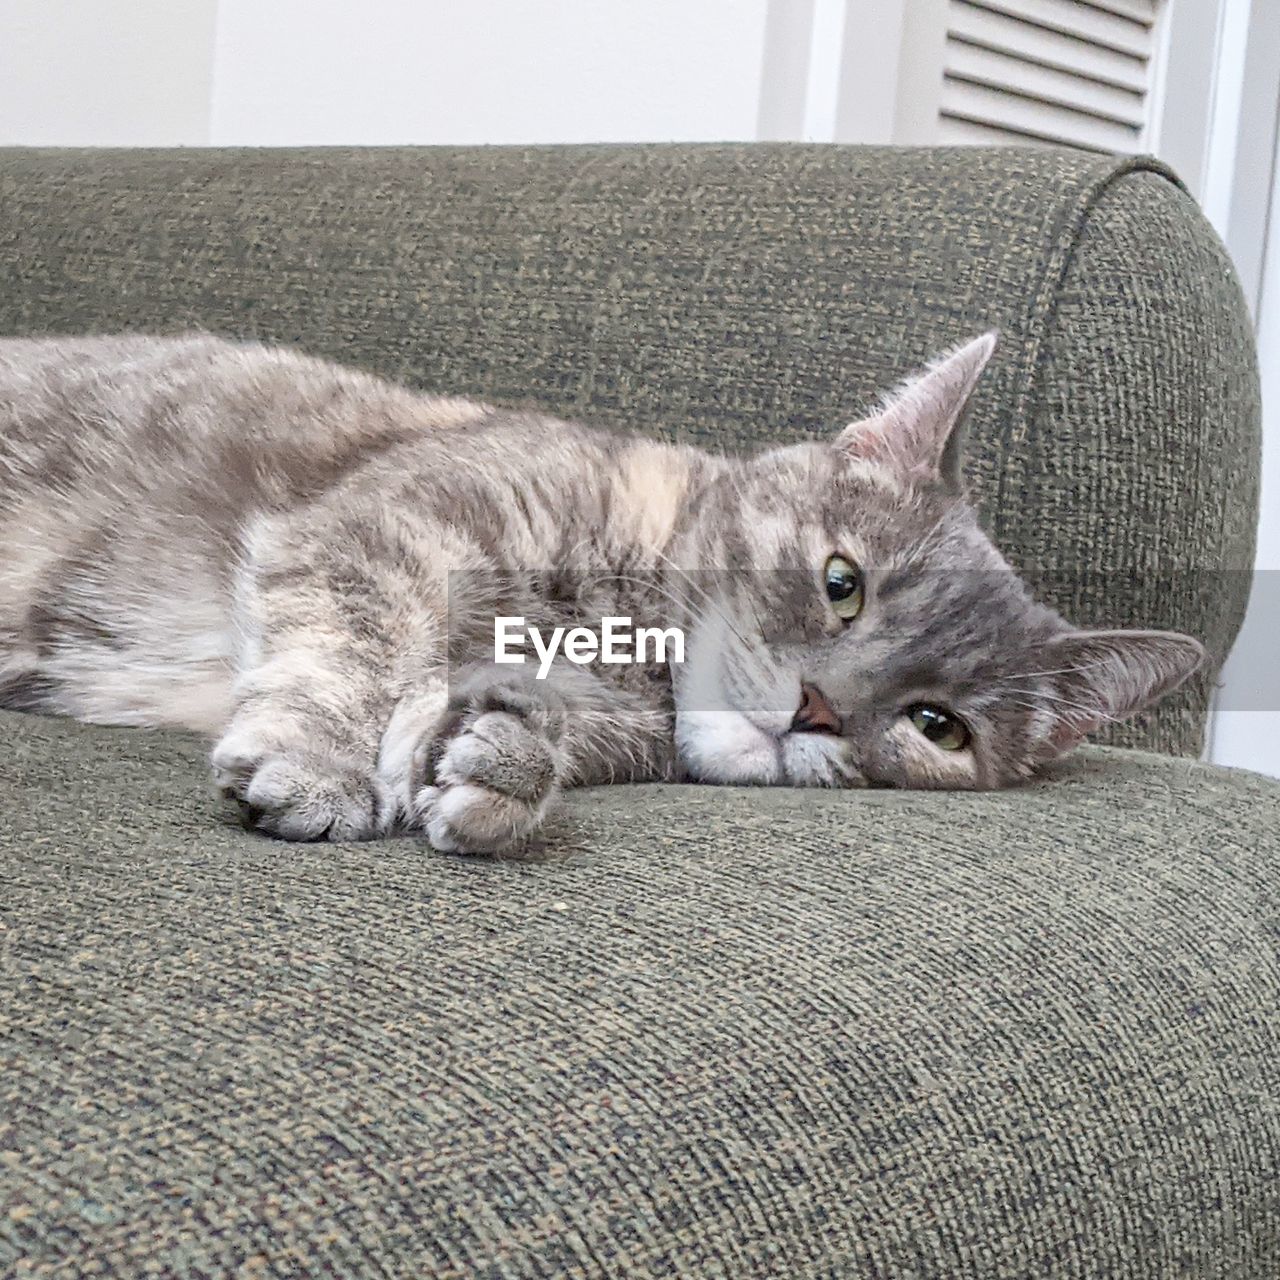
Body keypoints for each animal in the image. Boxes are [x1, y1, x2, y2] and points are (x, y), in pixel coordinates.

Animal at [0, 332, 1198, 849]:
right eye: (842, 582)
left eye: (938, 726)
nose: (816, 709)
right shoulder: (387, 527)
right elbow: (358, 644)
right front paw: (323, 763)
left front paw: (497, 762)